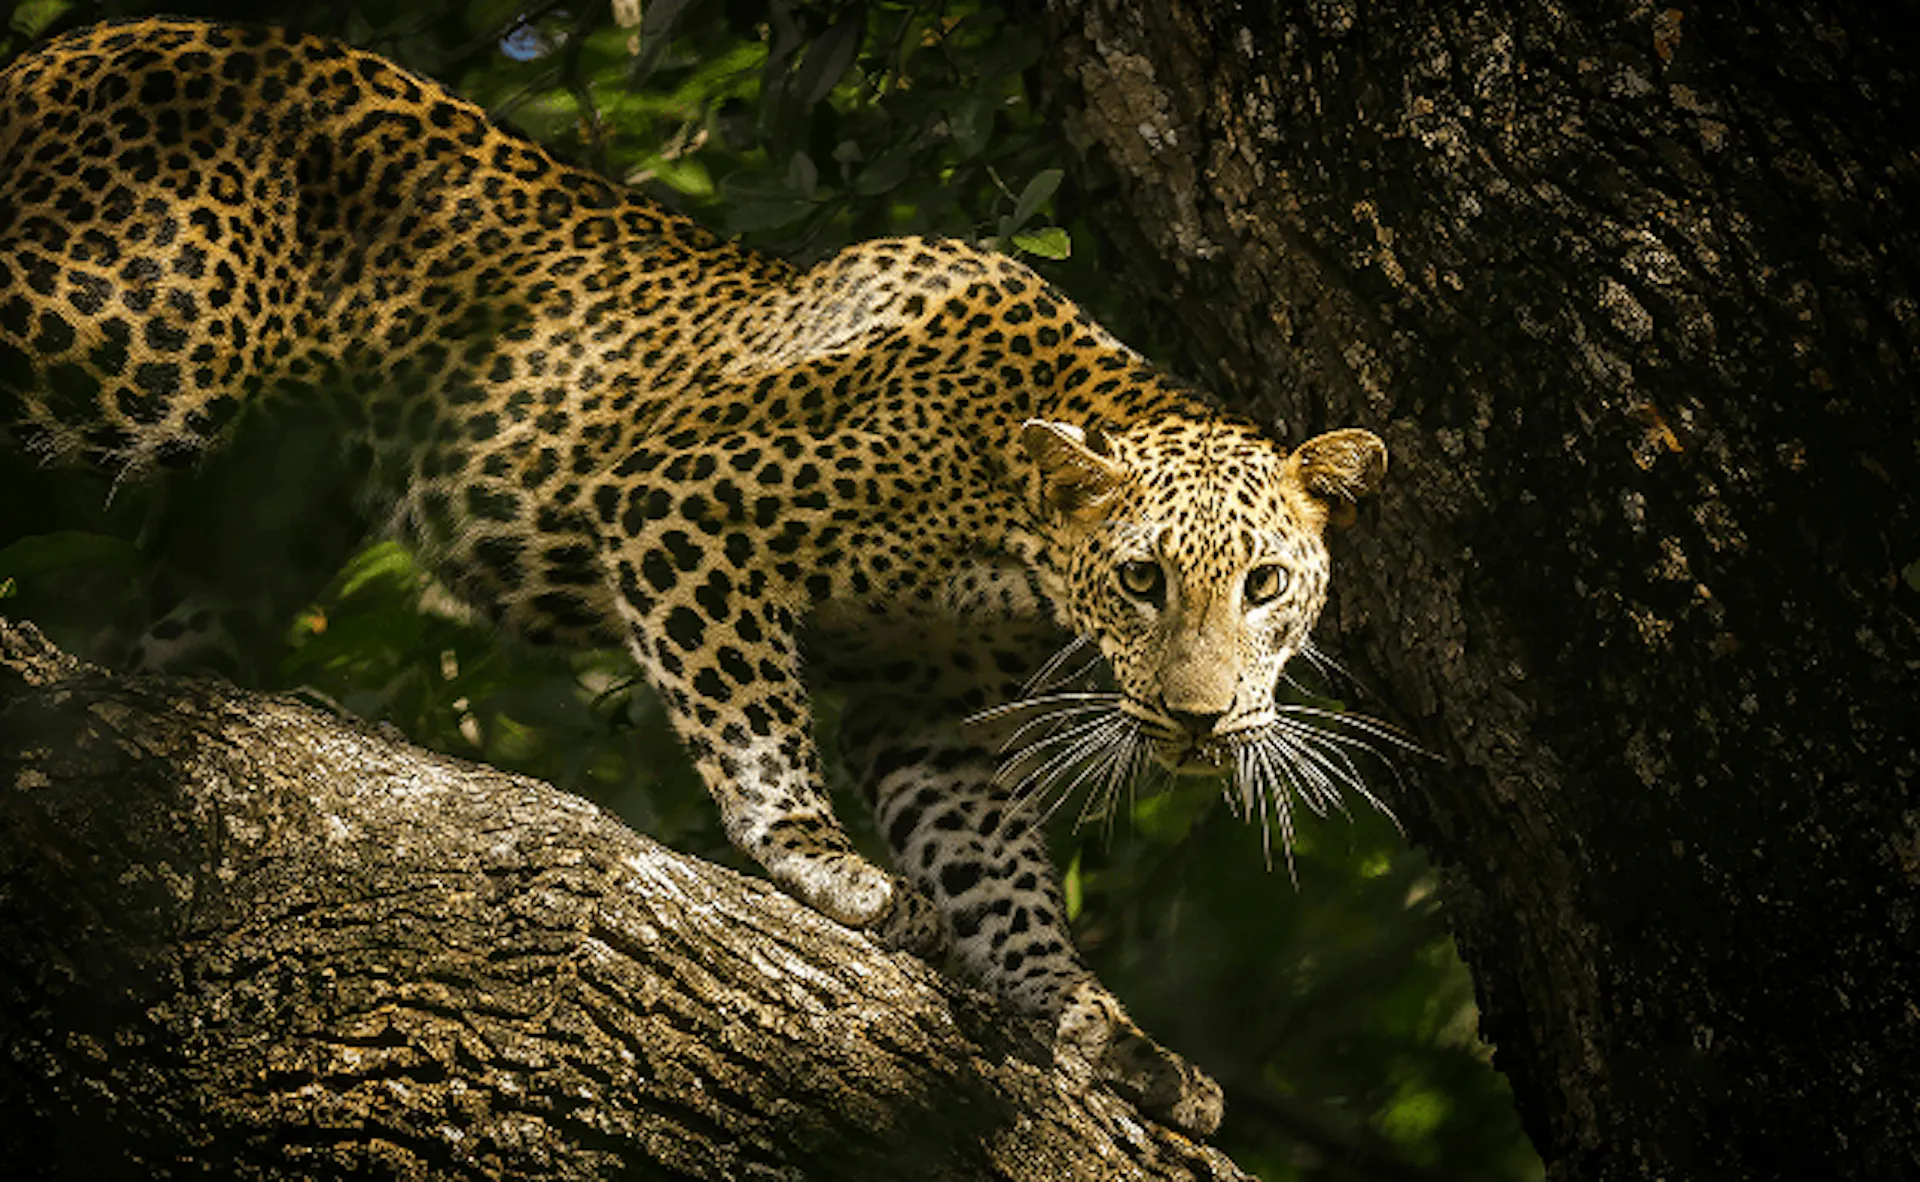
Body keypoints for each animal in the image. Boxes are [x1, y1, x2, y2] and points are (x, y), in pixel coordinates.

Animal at [0, 17, 1389, 1137]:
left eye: (1266, 585)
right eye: (1144, 581)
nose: (1204, 721)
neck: (1011, 535)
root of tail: (78, 45)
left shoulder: (926, 706)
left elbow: (998, 876)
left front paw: (1099, 1027)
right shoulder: (683, 507)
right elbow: (755, 723)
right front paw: (823, 863)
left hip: (267, 506)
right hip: (116, 327)